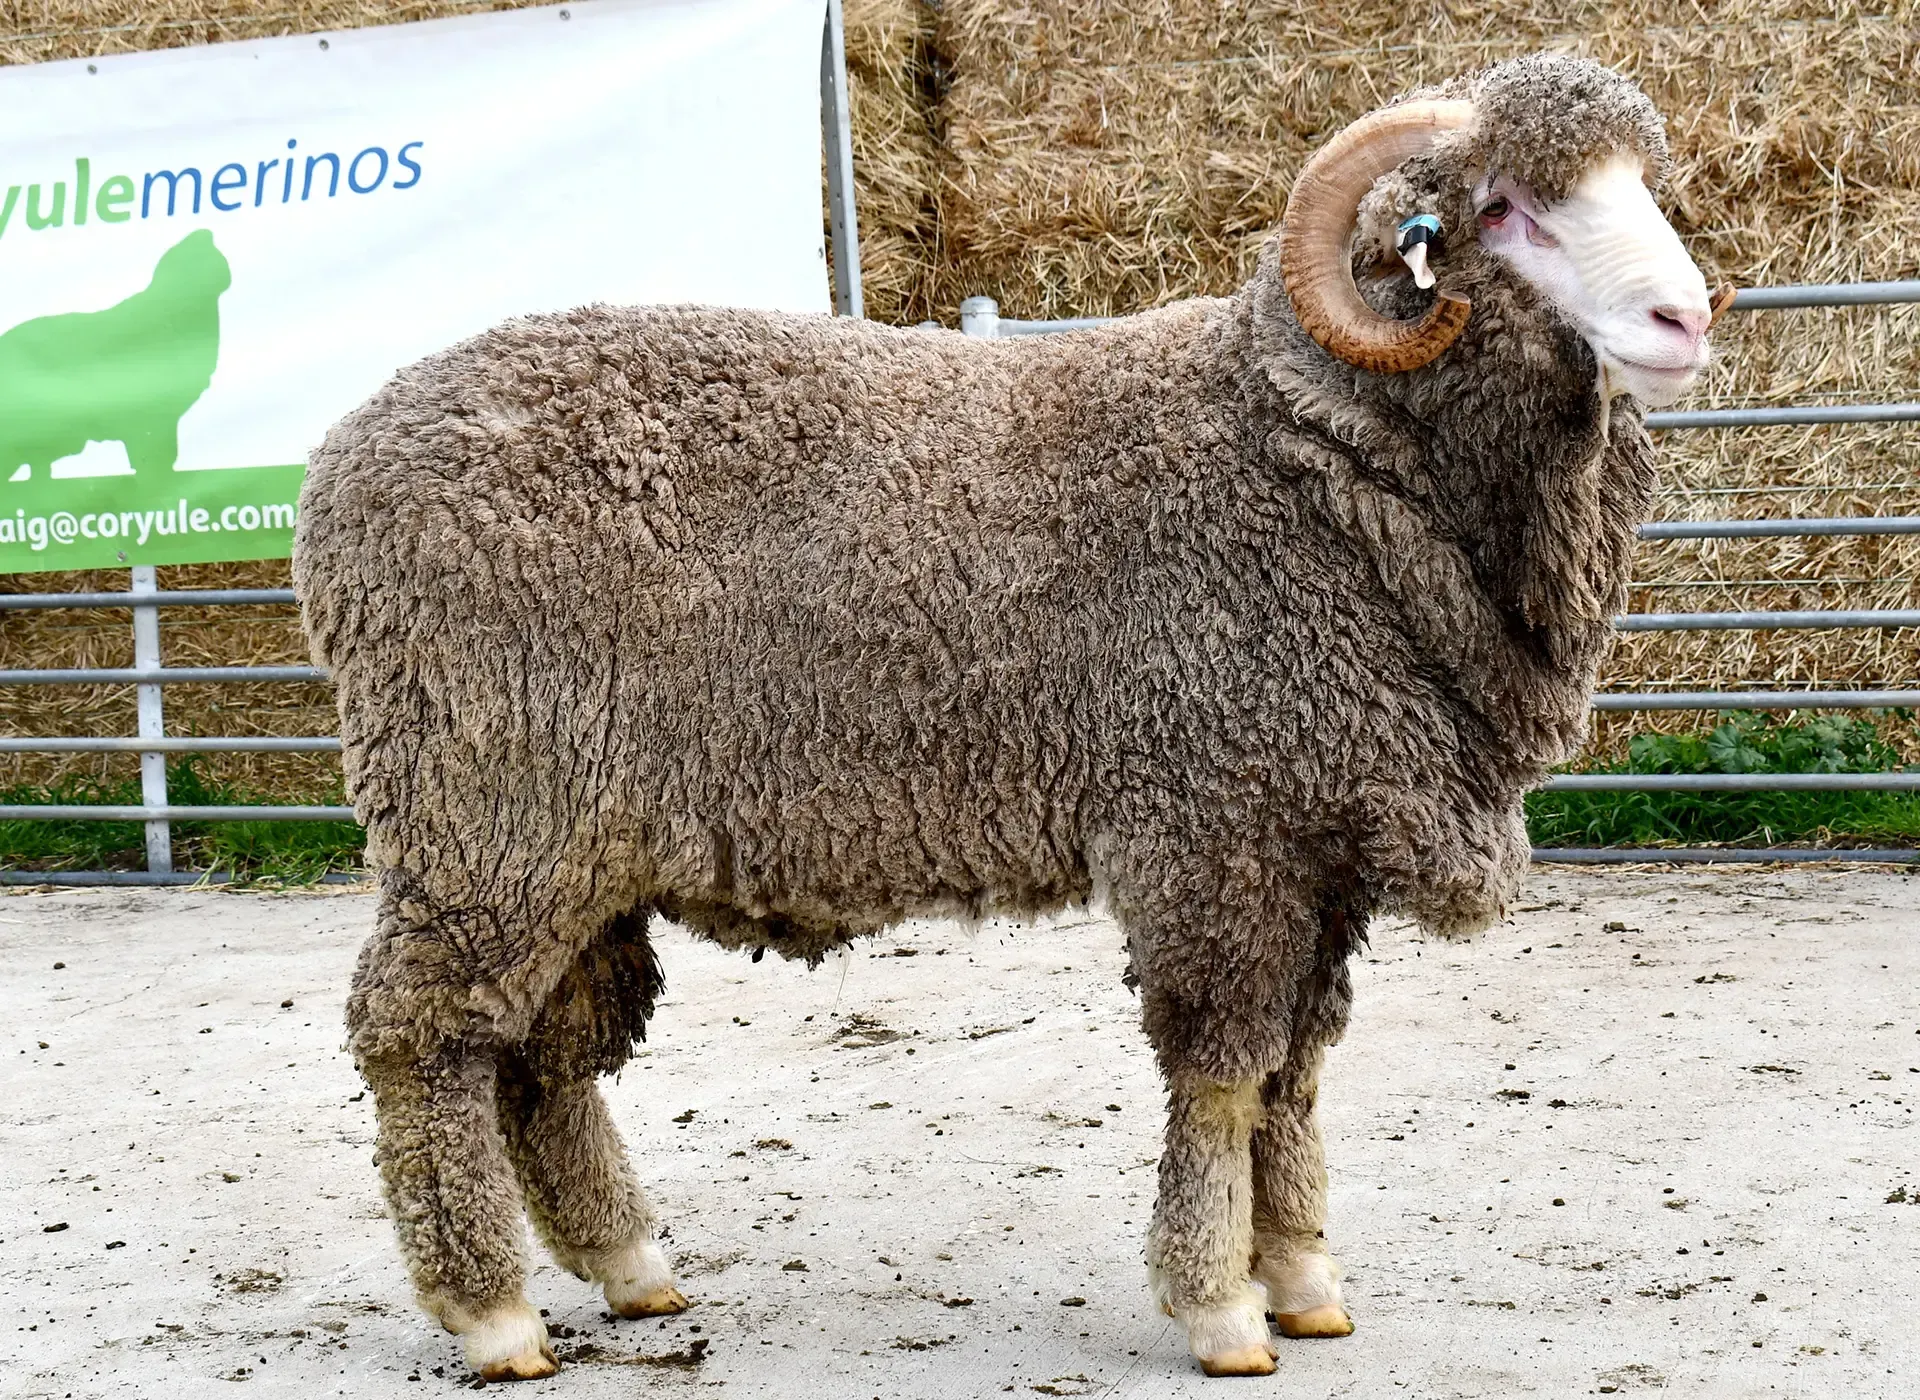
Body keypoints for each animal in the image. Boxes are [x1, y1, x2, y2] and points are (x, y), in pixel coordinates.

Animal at [293, 53, 1728, 1383]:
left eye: (1638, 185)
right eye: (1502, 210)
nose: (1687, 315)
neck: (1308, 455)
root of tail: (341, 461)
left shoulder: (1314, 835)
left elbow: (1296, 1074)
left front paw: (1305, 1279)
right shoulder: (1212, 824)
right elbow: (1224, 1072)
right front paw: (1221, 1308)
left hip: (577, 845)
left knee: (540, 1052)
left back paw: (629, 1267)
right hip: (486, 809)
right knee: (421, 1036)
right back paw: (493, 1314)